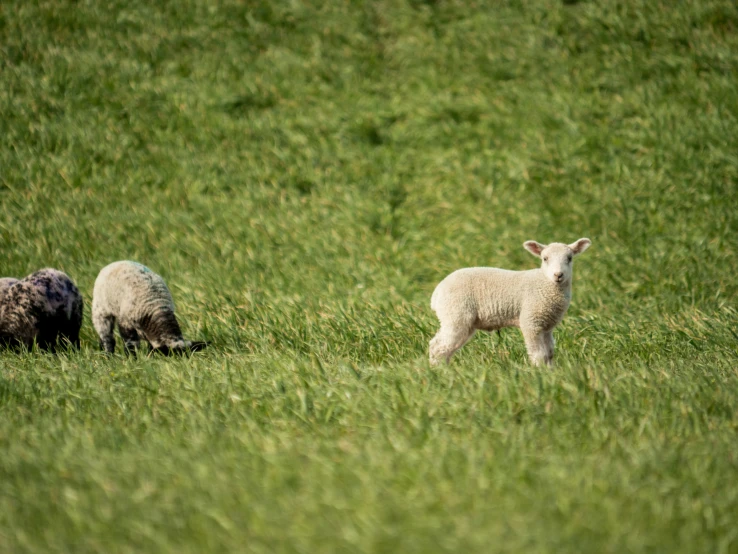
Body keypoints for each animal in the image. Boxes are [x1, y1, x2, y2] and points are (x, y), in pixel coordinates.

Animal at [426, 236, 592, 362]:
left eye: (569, 258)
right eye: (545, 259)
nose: (558, 275)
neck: (544, 283)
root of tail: (437, 292)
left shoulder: (546, 326)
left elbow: (549, 353)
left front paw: (551, 373)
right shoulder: (531, 321)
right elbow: (539, 355)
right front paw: (539, 373)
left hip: (459, 320)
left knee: (444, 347)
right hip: (456, 314)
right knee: (438, 347)